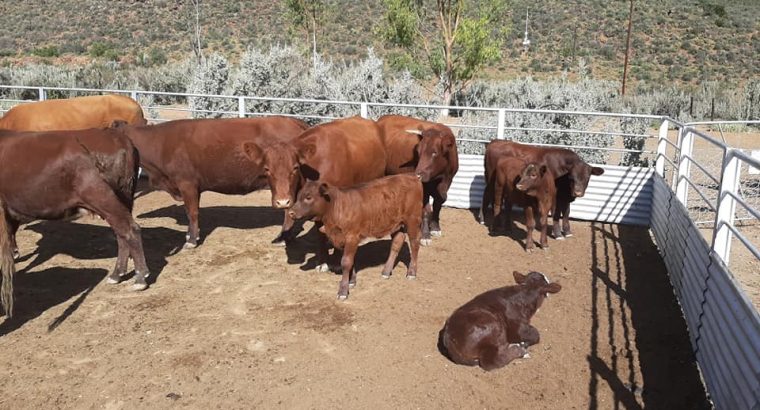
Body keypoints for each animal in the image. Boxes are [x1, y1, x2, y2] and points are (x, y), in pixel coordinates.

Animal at [0, 127, 150, 317]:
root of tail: (118, 137)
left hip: (103, 197)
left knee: (130, 230)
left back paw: (140, 277)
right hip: (122, 199)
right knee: (121, 234)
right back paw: (117, 274)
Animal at [115, 116, 309, 248]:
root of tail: (293, 122)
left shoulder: (187, 184)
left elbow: (192, 212)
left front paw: (192, 240)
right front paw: (189, 235)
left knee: (288, 210)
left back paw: (282, 238)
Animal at [263, 116, 388, 270]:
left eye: (295, 167)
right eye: (267, 169)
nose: (282, 201)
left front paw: (336, 261)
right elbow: (319, 231)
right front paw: (322, 261)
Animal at [287, 175, 423, 300]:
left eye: (308, 197)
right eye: (299, 196)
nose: (291, 213)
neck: (337, 207)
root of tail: (412, 177)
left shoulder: (352, 237)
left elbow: (346, 262)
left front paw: (343, 291)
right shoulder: (342, 239)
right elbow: (349, 260)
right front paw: (351, 282)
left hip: (413, 220)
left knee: (414, 243)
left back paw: (411, 272)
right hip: (396, 224)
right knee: (397, 242)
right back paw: (386, 272)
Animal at [377, 115, 459, 245]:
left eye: (434, 152)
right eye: (418, 152)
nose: (418, 175)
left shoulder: (447, 181)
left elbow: (438, 203)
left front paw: (435, 228)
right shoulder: (423, 187)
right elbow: (425, 209)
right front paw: (425, 235)